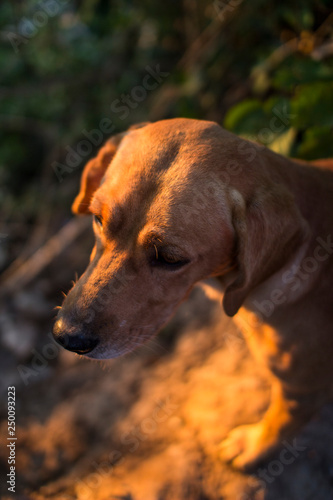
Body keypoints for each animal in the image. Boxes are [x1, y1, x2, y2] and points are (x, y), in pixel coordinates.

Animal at [52, 119, 332, 470]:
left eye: (170, 258)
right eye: (98, 219)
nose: (66, 336)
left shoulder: (301, 390)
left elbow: (281, 422)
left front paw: (254, 446)